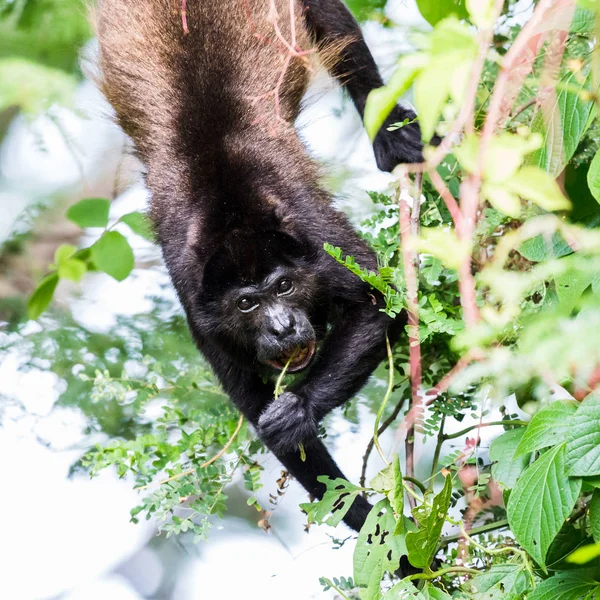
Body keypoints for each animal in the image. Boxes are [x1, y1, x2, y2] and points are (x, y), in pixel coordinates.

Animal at [98, 0, 424, 536]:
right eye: (248, 303)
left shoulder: (312, 230)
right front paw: (379, 535)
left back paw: (390, 131)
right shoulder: (192, 288)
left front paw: (299, 409)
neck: (232, 216)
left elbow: (380, 300)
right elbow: (253, 405)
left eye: (285, 286)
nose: (282, 326)